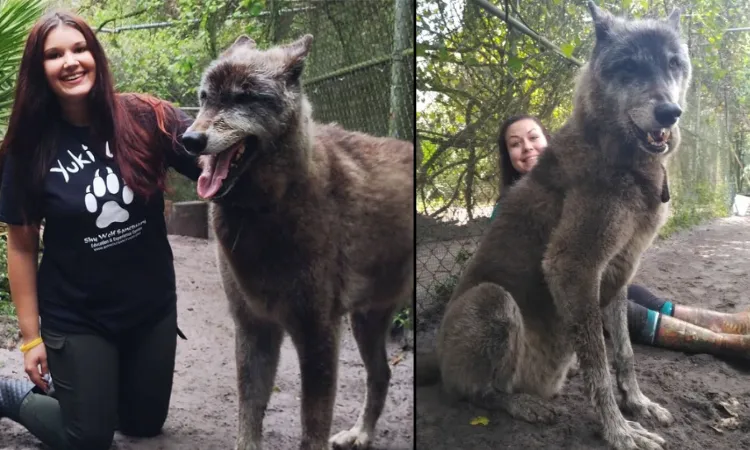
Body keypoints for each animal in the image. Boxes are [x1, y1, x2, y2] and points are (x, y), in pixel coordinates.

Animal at [182, 33, 418, 448]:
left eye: (243, 98)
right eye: (206, 97)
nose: (190, 139)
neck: (265, 211)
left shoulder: (318, 332)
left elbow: (312, 427)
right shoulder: (254, 329)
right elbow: (249, 415)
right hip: (365, 321)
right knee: (382, 374)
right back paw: (360, 434)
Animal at [418, 1, 692, 448]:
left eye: (673, 64)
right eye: (629, 67)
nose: (670, 112)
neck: (618, 155)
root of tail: (437, 358)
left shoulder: (618, 269)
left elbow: (624, 352)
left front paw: (638, 404)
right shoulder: (573, 267)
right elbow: (599, 364)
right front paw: (618, 430)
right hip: (491, 299)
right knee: (478, 393)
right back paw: (524, 405)